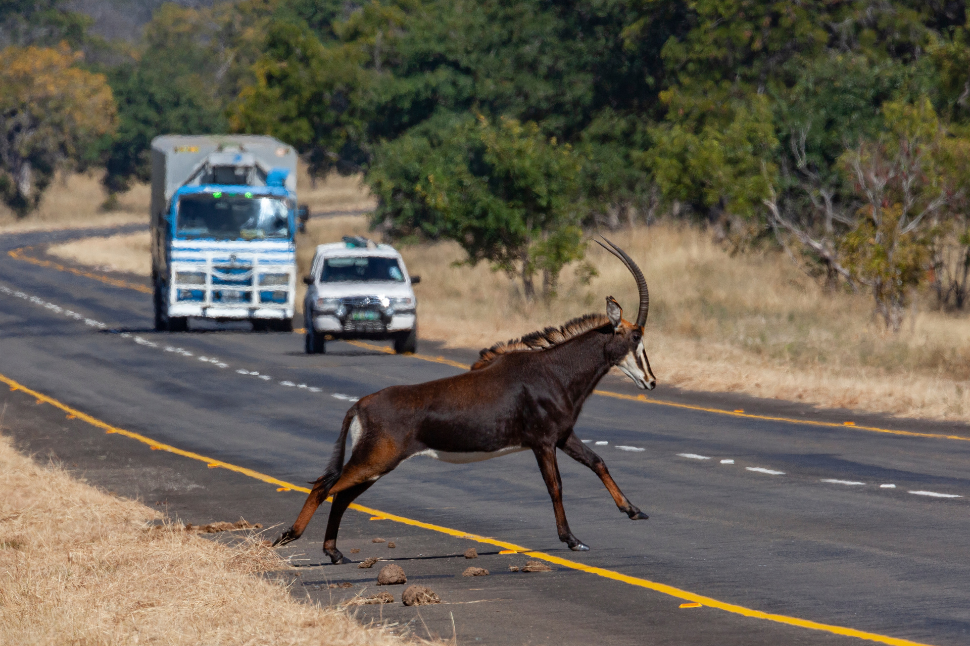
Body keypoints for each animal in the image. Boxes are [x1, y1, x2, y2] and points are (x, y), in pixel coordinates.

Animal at [274, 240, 656, 564]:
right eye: (635, 337)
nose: (651, 381)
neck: (554, 370)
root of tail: (359, 406)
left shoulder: (563, 436)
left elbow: (598, 462)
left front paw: (634, 510)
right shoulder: (544, 442)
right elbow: (556, 487)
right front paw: (572, 539)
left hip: (375, 466)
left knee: (340, 494)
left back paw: (335, 553)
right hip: (375, 460)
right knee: (325, 487)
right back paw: (287, 537)